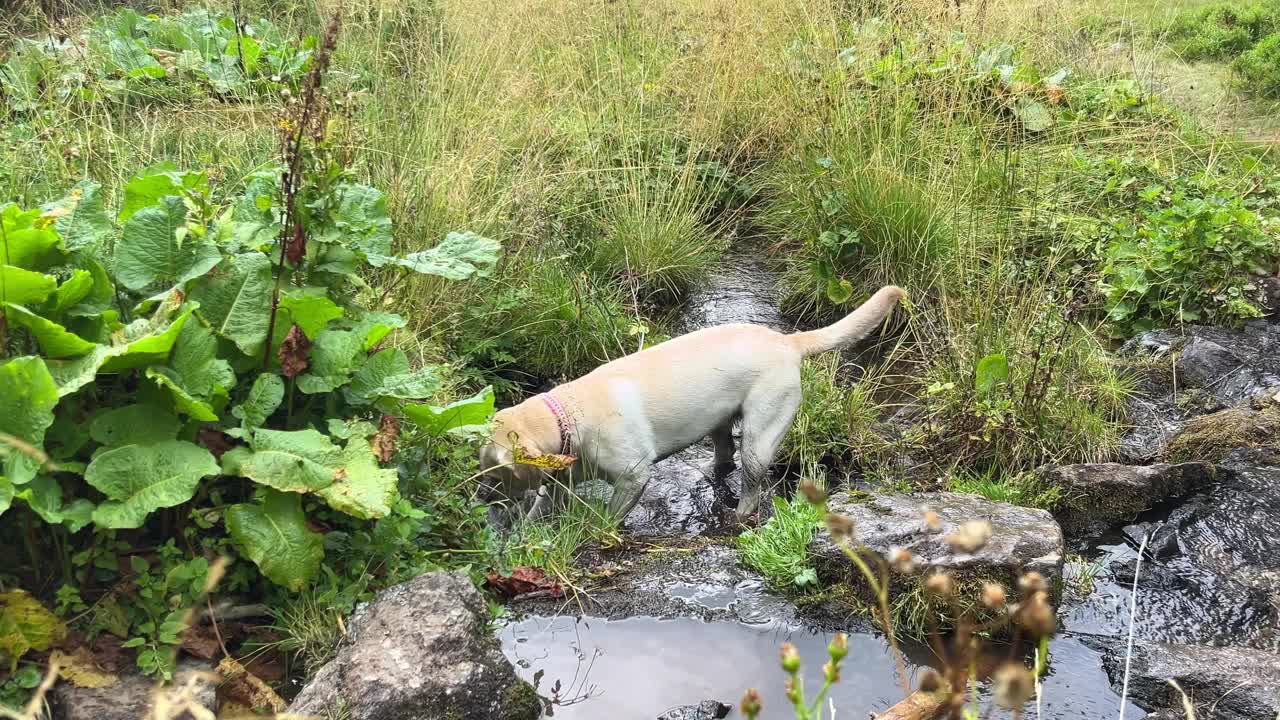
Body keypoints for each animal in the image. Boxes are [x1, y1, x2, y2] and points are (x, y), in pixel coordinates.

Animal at [476, 284, 906, 520]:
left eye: (495, 472)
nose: (479, 497)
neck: (568, 417)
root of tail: (788, 342)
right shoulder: (560, 480)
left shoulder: (634, 477)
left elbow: (610, 516)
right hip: (719, 421)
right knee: (724, 454)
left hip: (761, 435)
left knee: (752, 483)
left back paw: (740, 513)